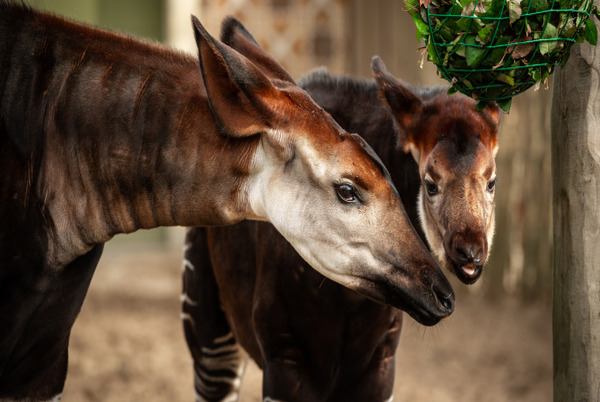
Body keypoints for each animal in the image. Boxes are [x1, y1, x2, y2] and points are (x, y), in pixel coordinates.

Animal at [182, 22, 500, 401]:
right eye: (430, 183)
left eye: (492, 181)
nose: (470, 254)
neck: (347, 297)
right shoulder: (284, 357)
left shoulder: (379, 364)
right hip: (209, 334)